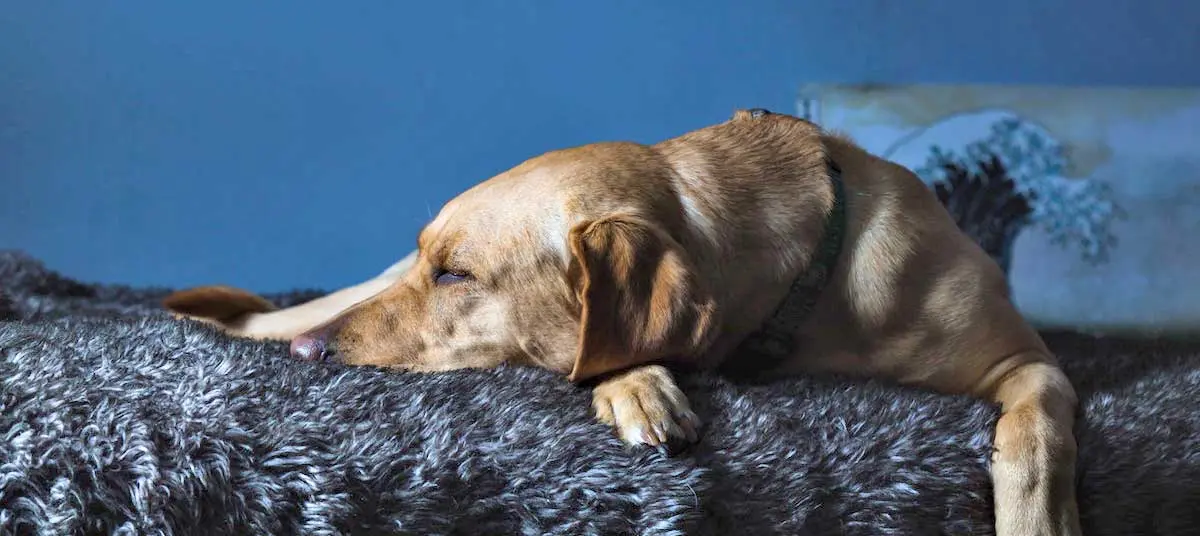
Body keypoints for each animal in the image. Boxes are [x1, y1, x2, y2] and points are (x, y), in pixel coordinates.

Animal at [166, 110, 1080, 536]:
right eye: (435, 261)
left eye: (458, 274)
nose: (310, 354)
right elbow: (611, 351)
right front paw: (639, 385)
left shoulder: (1026, 361)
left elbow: (1036, 436)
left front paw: (1038, 516)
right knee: (254, 317)